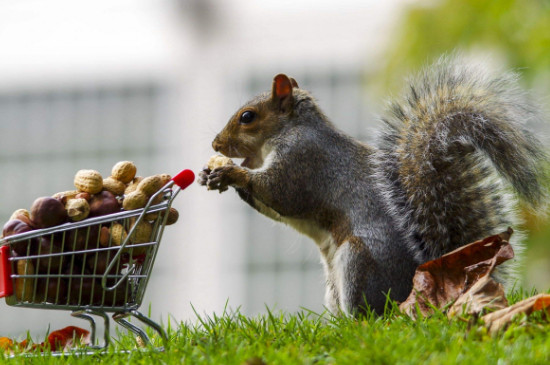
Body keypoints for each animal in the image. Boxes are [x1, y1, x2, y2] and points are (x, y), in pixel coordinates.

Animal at [197, 55, 548, 314]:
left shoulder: (303, 162)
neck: (291, 129)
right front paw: (209, 174)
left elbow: (280, 193)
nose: (216, 144)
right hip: (334, 285)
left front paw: (231, 173)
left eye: (247, 117)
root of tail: (419, 285)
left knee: (370, 315)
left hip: (358, 261)